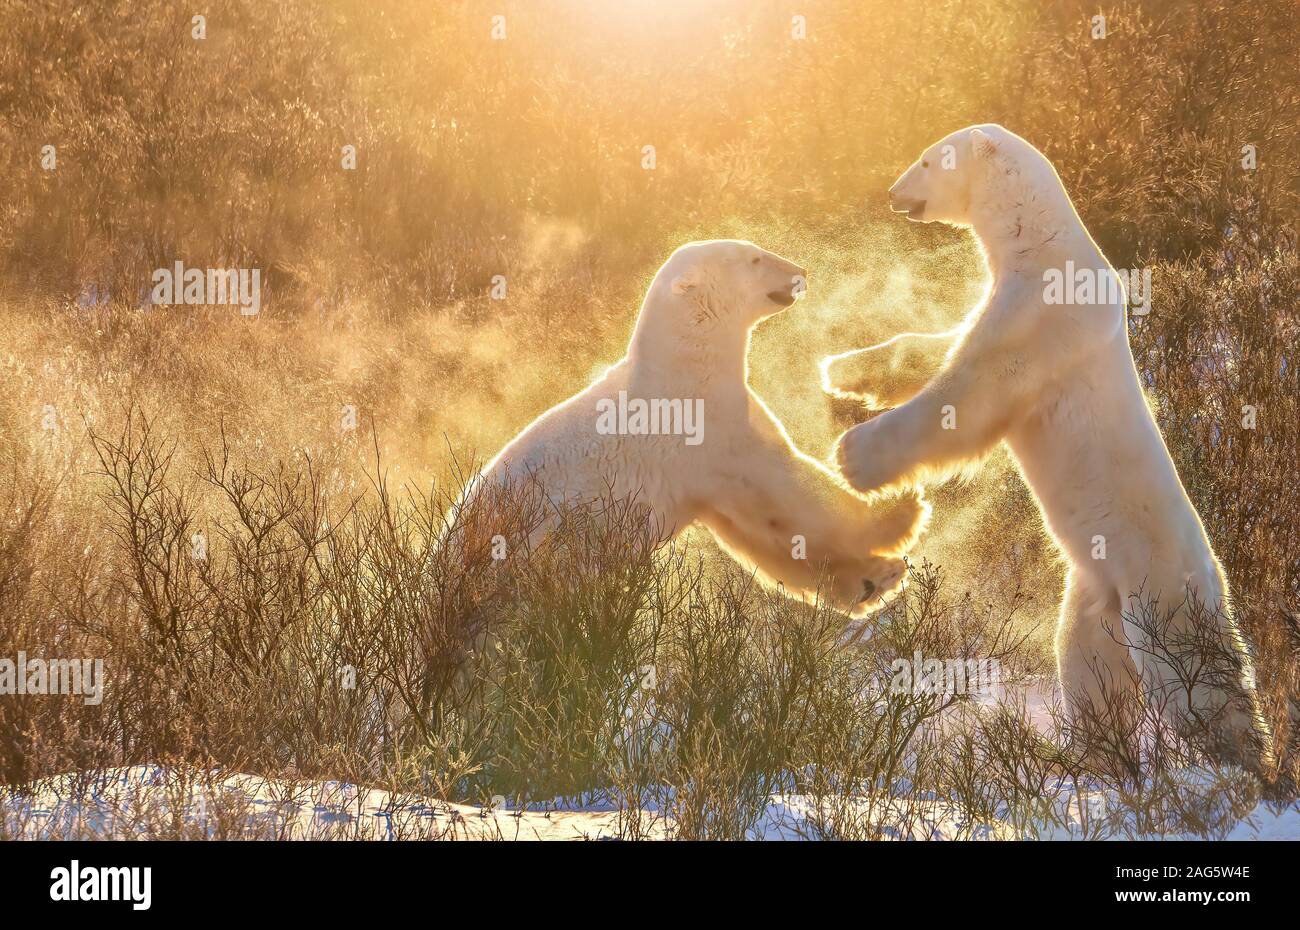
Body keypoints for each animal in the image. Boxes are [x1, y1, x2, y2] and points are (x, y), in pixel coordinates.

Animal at [465, 240, 925, 619]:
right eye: (754, 258)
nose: (802, 271)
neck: (685, 364)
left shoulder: (706, 477)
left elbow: (758, 531)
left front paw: (874, 579)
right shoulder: (710, 432)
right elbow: (787, 488)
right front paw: (900, 509)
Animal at [826, 121, 1263, 749]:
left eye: (930, 160)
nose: (892, 192)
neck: (1044, 243)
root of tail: (1215, 578)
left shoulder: (1039, 318)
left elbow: (968, 394)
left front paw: (852, 456)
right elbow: (938, 347)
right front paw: (843, 368)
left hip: (1160, 594)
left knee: (1194, 685)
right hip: (1095, 592)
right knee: (1090, 670)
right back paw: (1098, 753)